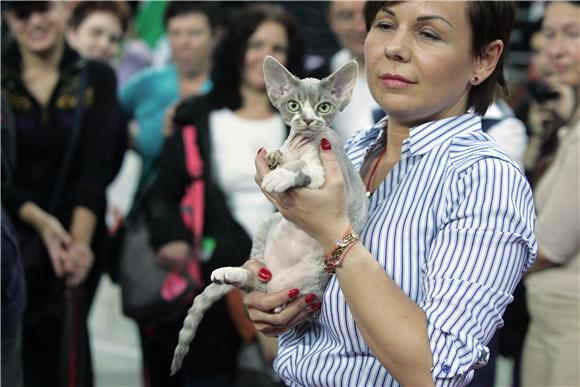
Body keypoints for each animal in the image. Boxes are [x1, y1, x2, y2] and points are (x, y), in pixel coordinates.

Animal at [170, 55, 368, 376]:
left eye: (324, 107)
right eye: (294, 105)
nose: (309, 120)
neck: (301, 143)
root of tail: (278, 281)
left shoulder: (321, 173)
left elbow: (299, 167)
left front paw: (279, 175)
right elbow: (283, 156)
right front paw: (275, 158)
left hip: (309, 285)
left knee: (276, 298)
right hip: (267, 227)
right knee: (256, 280)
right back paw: (230, 273)